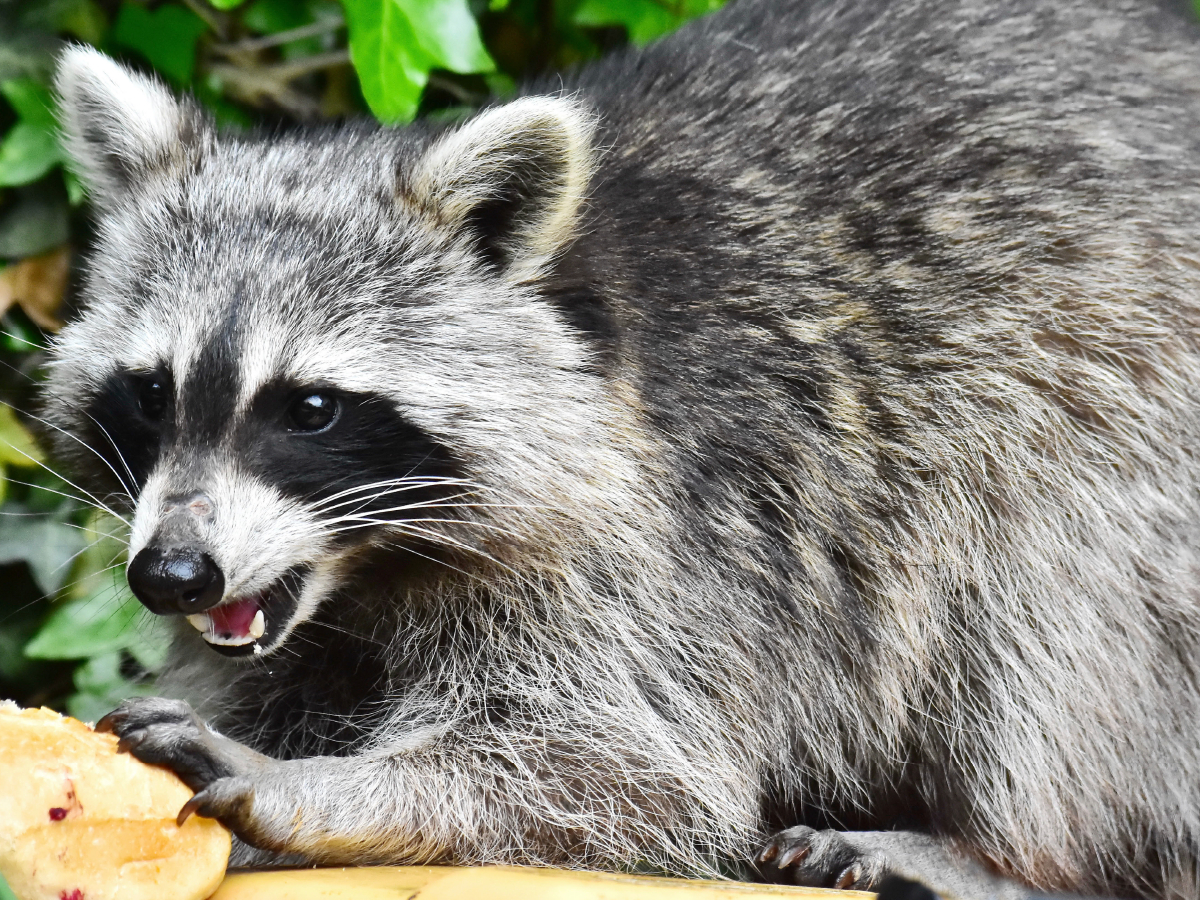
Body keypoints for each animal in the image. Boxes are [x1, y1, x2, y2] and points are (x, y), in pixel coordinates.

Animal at [42, 0, 1200, 897]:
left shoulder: (674, 537)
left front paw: (322, 790)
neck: (365, 571)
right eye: (151, 393)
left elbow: (621, 764)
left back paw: (1003, 851)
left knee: (1046, 596)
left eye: (311, 408)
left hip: (1120, 417)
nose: (172, 575)